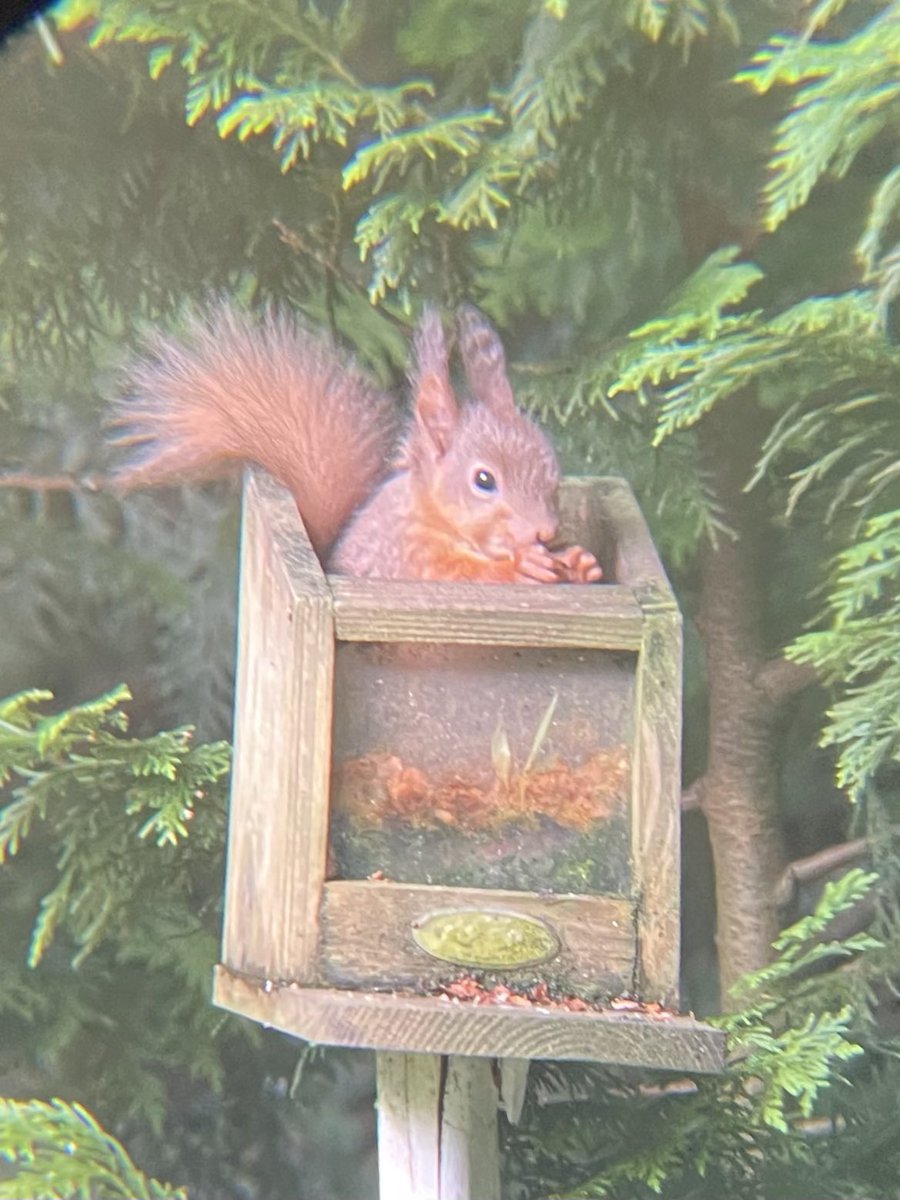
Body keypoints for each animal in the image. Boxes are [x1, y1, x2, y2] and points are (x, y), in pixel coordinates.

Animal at [114, 297, 607, 583]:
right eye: (484, 480)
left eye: (552, 471)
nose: (545, 531)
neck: (433, 514)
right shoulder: (407, 555)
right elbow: (458, 574)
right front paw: (524, 565)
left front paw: (580, 562)